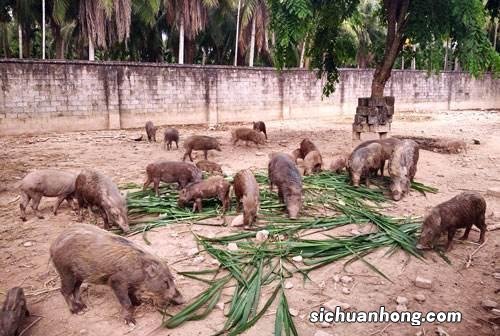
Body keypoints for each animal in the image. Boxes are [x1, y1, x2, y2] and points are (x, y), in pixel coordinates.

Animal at [50, 224, 185, 324]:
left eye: (172, 279)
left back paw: (84, 307)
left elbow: (132, 294)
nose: (183, 300)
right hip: (66, 272)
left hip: (79, 275)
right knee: (64, 291)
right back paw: (76, 311)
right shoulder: (116, 281)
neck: (139, 271)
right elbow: (126, 303)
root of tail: (53, 245)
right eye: (165, 282)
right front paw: (130, 322)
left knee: (76, 289)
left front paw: (138, 303)